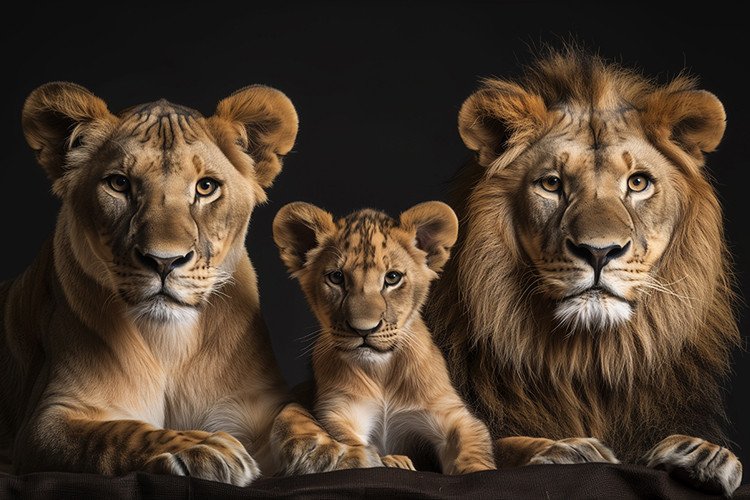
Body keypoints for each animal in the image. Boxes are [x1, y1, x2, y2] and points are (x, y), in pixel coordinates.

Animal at [0, 82, 367, 484]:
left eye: (206, 187)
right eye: (119, 184)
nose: (164, 261)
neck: (170, 345)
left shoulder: (257, 402)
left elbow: (296, 413)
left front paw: (334, 450)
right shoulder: (47, 422)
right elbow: (117, 433)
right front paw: (201, 446)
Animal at [273, 202, 496, 474]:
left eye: (392, 277)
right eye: (336, 277)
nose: (363, 329)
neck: (382, 373)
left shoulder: (451, 414)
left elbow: (473, 449)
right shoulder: (338, 412)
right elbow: (351, 444)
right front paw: (394, 460)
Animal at [426, 49, 743, 495]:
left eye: (638, 183)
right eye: (551, 184)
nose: (599, 251)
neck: (588, 362)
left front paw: (705, 454)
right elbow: (497, 444)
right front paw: (566, 449)